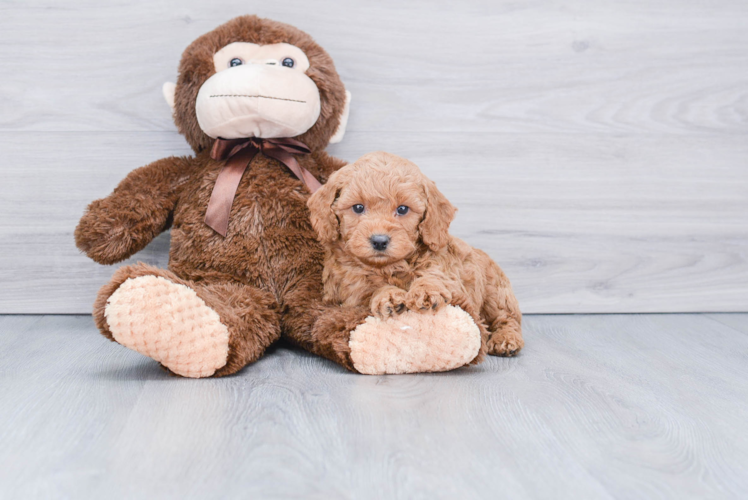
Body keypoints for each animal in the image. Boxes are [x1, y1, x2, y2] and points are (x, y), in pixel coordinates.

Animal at [306, 152, 524, 360]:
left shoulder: (450, 276)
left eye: (402, 209)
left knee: (507, 317)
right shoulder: (350, 292)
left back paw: (506, 339)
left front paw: (426, 291)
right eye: (358, 207)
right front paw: (389, 296)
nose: (379, 241)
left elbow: (435, 277)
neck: (390, 266)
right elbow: (371, 290)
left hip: (495, 292)